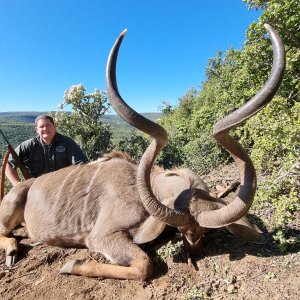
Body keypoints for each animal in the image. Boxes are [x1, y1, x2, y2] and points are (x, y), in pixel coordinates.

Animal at [0, 24, 284, 282]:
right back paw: (13, 252)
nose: (194, 249)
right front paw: (72, 265)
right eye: (181, 230)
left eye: (203, 232)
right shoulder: (102, 236)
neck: (143, 187)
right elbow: (144, 265)